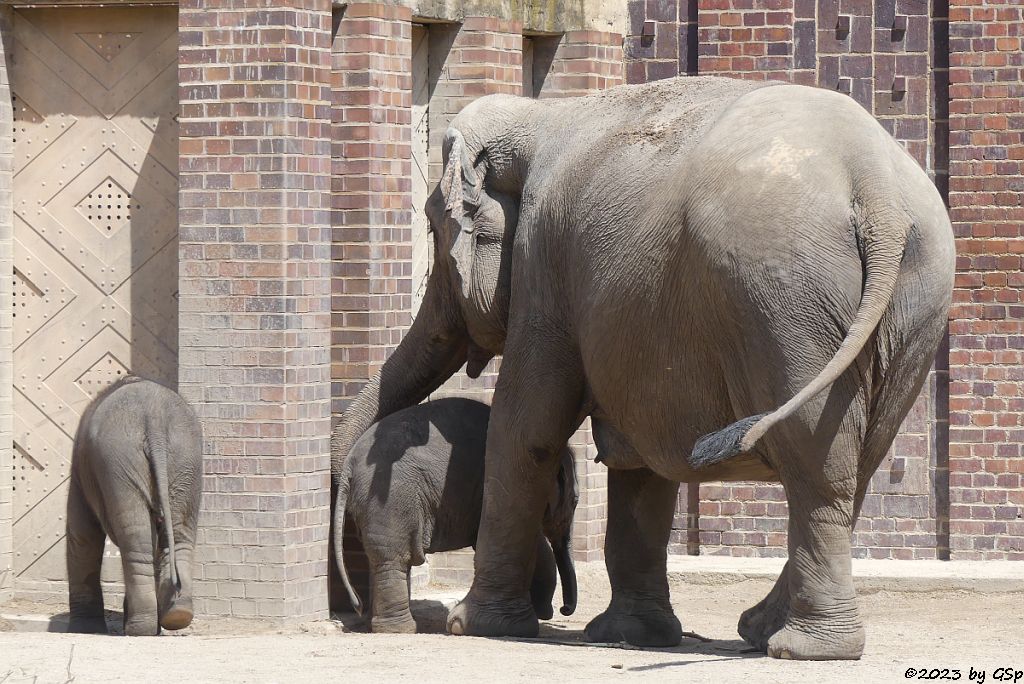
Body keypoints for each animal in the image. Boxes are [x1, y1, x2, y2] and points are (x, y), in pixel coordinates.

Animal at [66, 374, 201, 634]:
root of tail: (154, 419)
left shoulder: (79, 472)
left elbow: (83, 536)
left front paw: (84, 629)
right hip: (185, 459)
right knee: (178, 533)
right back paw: (176, 615)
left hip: (118, 460)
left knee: (137, 539)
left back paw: (140, 628)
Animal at [333, 397, 577, 634]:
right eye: (575, 501)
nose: (564, 610)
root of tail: (349, 465)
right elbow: (534, 544)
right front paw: (543, 613)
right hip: (391, 500)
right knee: (394, 558)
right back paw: (400, 630)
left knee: (383, 557)